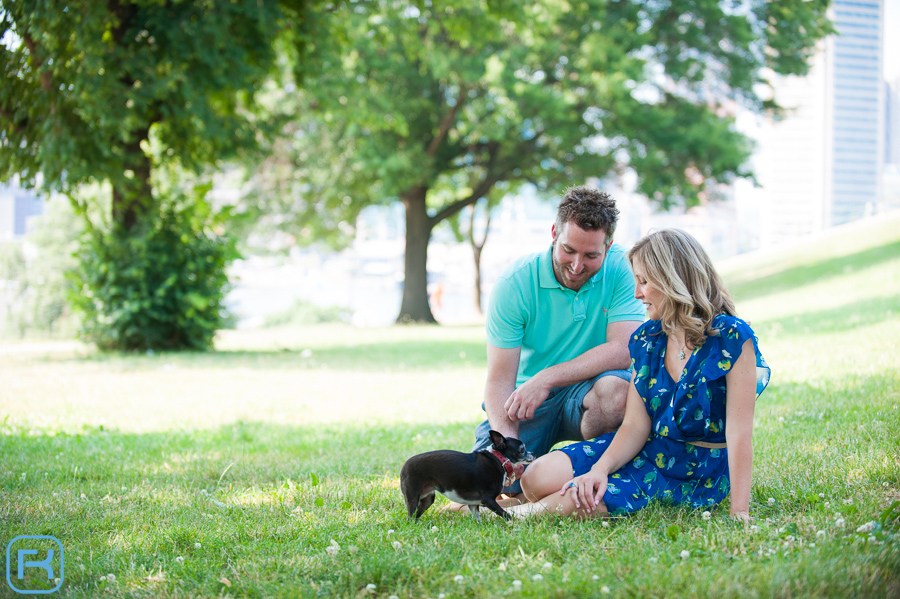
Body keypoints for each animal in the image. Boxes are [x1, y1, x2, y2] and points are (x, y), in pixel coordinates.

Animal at [400, 428, 536, 524]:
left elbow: (477, 519)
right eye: (522, 449)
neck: (499, 459)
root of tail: (404, 465)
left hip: (428, 499)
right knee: (410, 517)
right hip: (413, 497)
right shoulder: (488, 500)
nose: (534, 453)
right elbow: (506, 515)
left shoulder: (473, 504)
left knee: (415, 516)